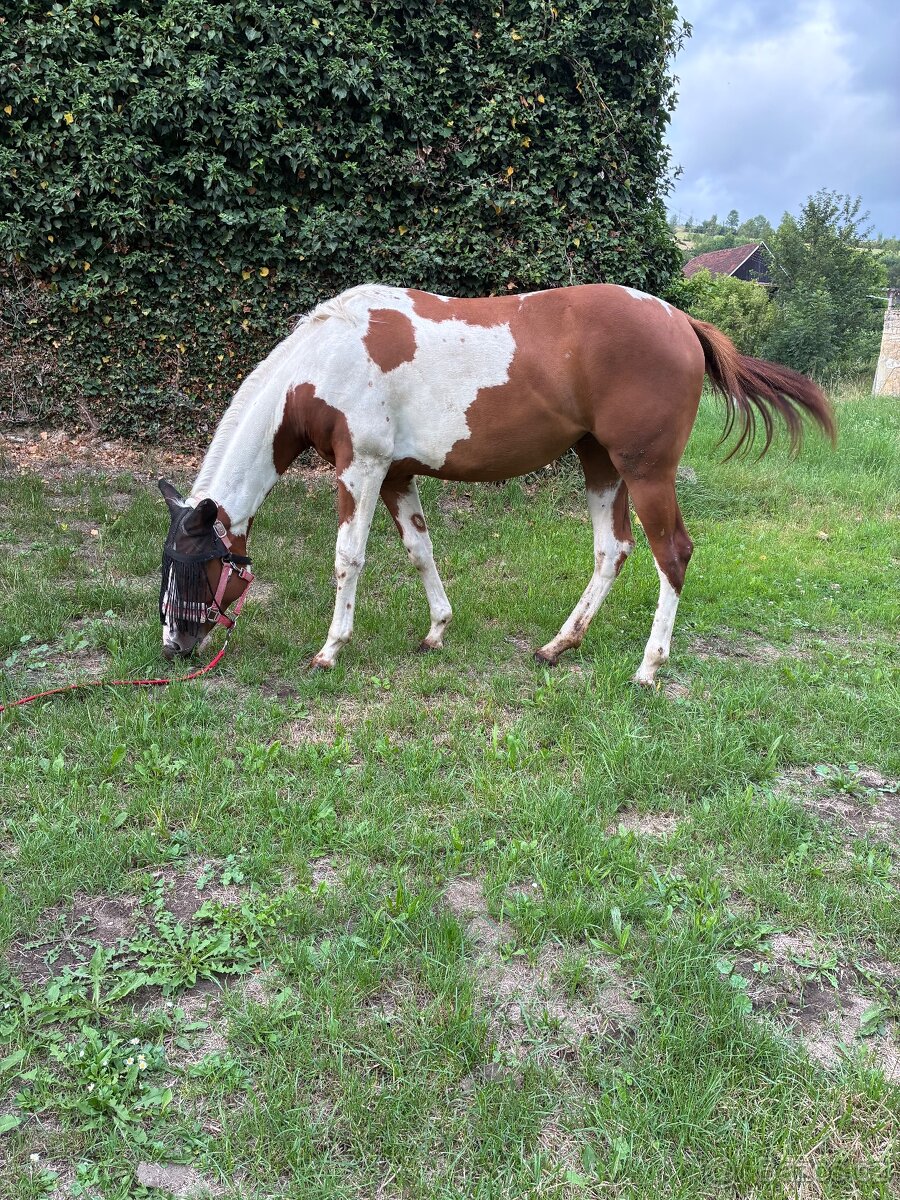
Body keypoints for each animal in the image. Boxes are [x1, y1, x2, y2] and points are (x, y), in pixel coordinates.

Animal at [159, 283, 834, 683]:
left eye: (193, 566)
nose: (172, 646)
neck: (326, 358)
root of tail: (681, 321)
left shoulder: (363, 468)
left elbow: (348, 558)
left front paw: (330, 649)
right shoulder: (398, 474)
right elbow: (419, 550)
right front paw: (437, 630)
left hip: (646, 471)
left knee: (672, 554)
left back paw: (648, 666)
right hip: (600, 465)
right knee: (611, 550)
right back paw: (559, 645)